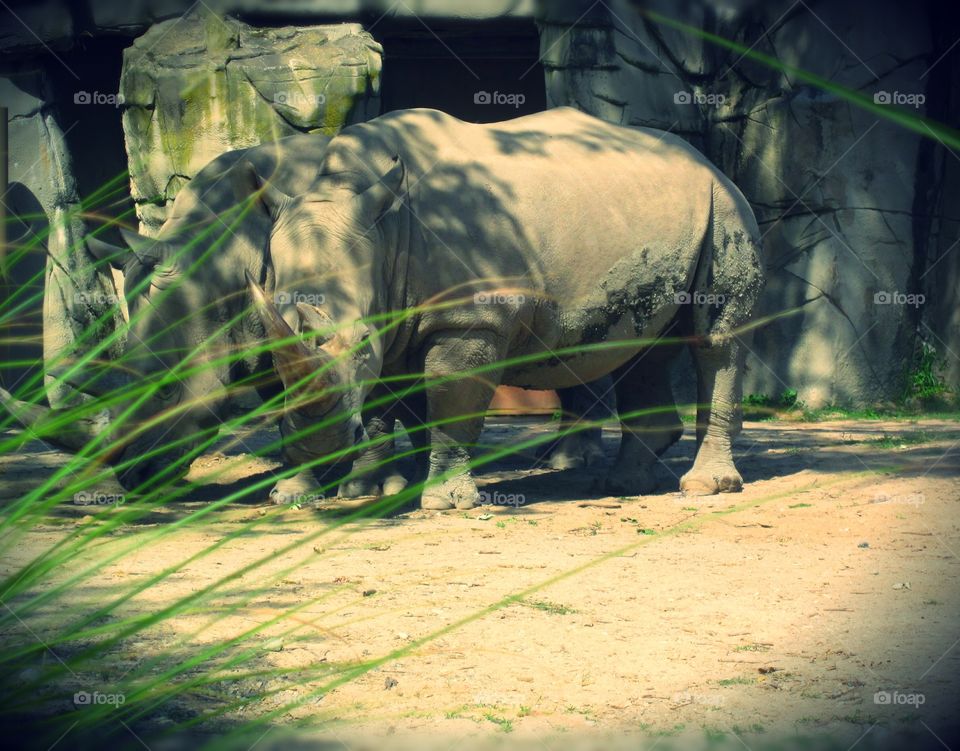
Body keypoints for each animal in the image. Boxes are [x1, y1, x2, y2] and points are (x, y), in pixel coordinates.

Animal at [2, 107, 764, 510]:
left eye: (169, 395)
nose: (116, 486)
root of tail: (701, 156)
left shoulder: (463, 316)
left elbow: (441, 396)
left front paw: (423, 496)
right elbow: (361, 402)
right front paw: (337, 488)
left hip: (724, 202)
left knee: (714, 339)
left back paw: (699, 486)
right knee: (641, 340)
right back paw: (623, 478)